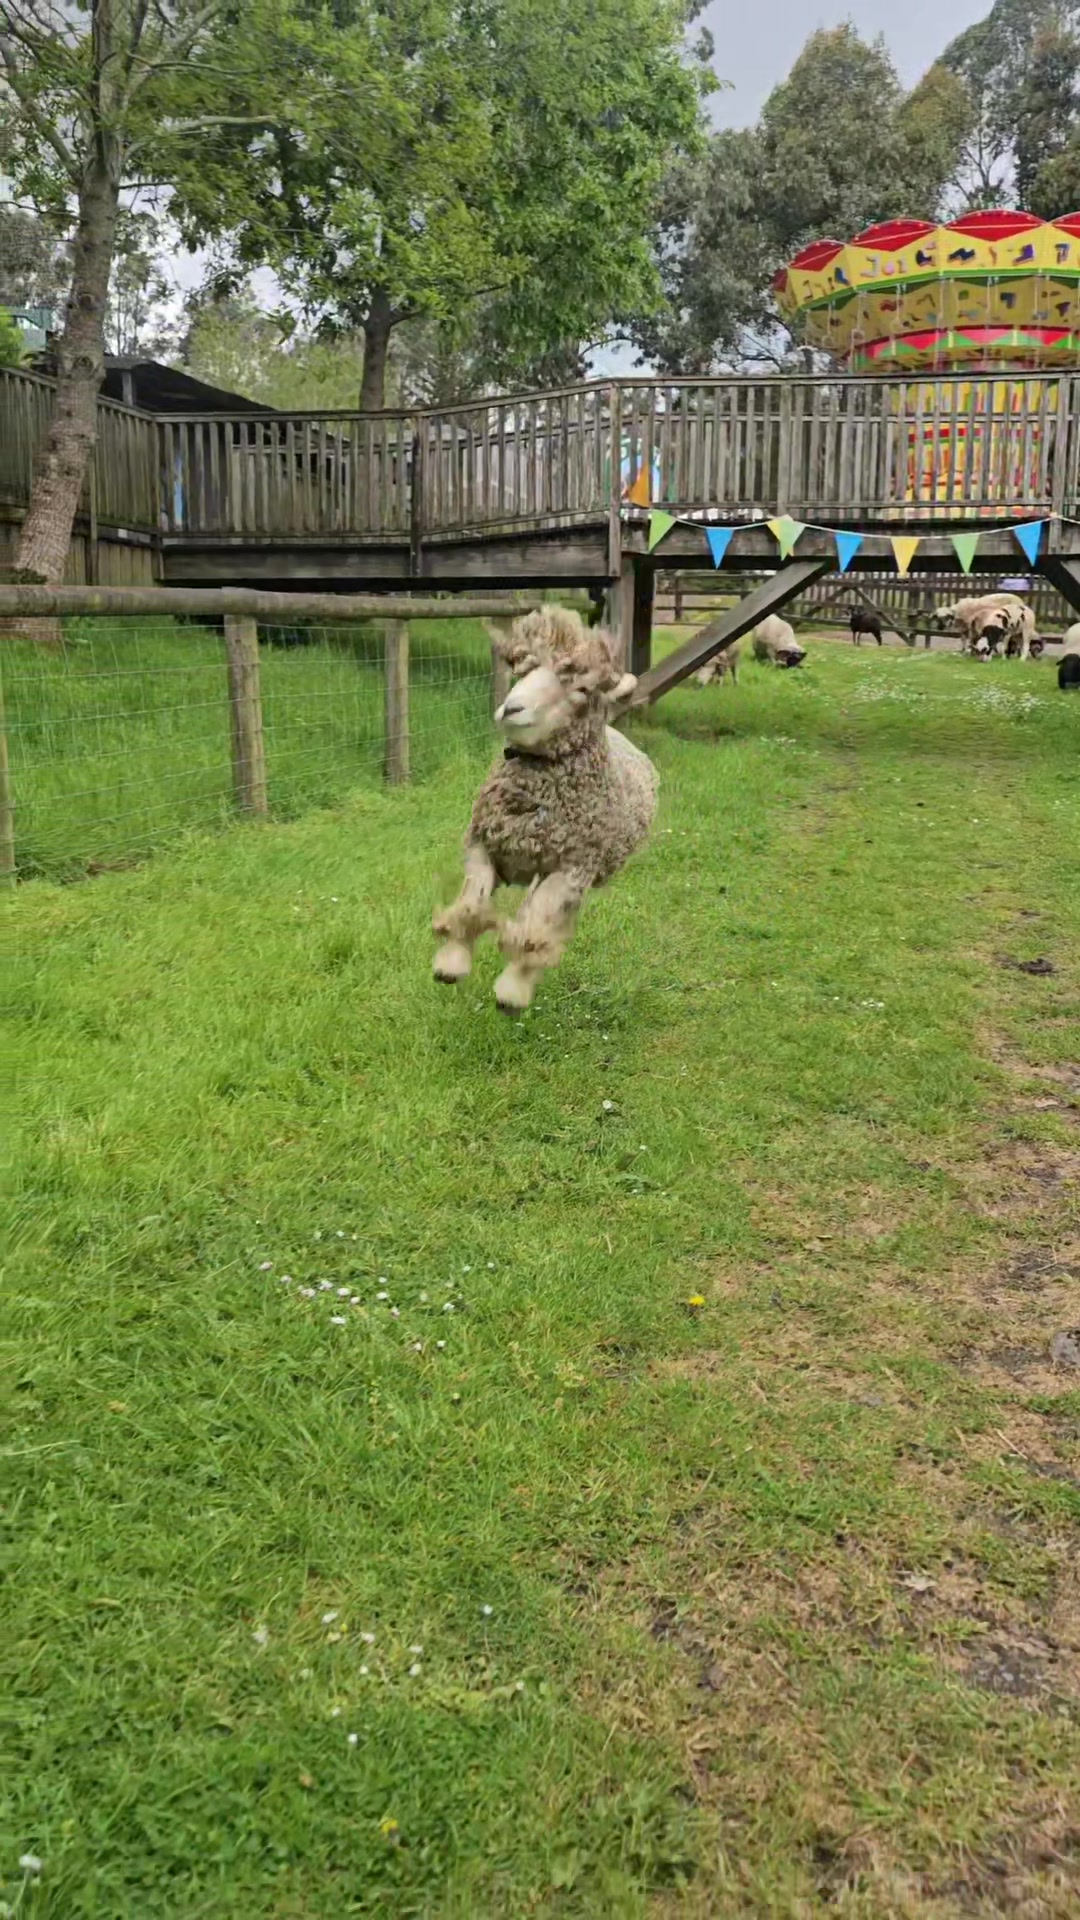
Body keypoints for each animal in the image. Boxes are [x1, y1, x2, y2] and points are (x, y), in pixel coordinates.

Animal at [432, 608, 658, 1013]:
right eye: (524, 671)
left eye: (581, 689)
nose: (512, 708)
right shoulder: (480, 842)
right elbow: (472, 900)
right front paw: (451, 964)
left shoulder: (572, 868)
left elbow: (537, 924)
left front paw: (513, 991)